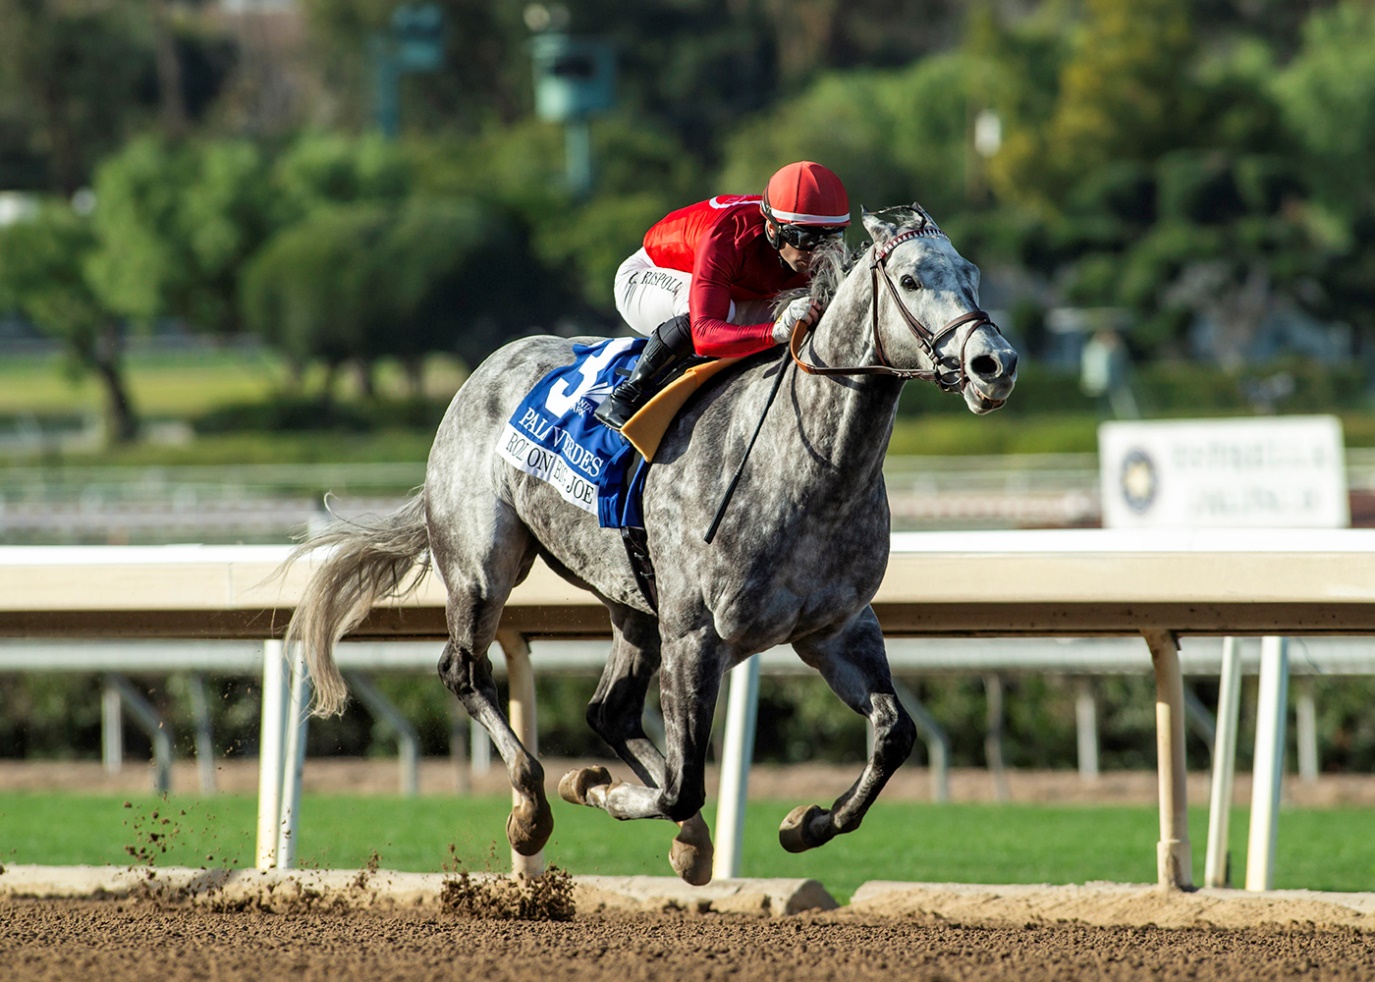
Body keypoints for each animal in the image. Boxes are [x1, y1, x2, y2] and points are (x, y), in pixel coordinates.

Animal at [284, 204, 1018, 885]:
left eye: (971, 274)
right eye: (911, 278)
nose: (995, 364)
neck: (809, 467)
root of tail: (482, 372)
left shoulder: (834, 628)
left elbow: (893, 734)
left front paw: (806, 823)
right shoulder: (696, 632)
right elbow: (681, 784)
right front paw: (599, 790)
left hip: (632, 598)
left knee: (608, 711)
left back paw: (678, 834)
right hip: (483, 566)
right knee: (464, 671)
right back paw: (533, 806)